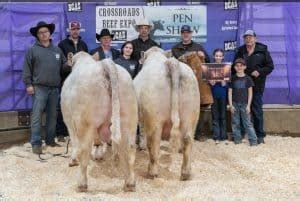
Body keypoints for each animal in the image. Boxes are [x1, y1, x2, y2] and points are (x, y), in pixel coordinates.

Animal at [61, 51, 138, 192]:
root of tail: (104, 64)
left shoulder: (69, 120)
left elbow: (75, 143)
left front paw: (73, 160)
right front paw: (98, 155)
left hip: (84, 123)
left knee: (83, 151)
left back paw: (81, 184)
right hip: (129, 119)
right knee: (130, 149)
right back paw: (129, 183)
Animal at [133, 47, 199, 181]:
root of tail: (171, 63)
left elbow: (141, 130)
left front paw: (141, 145)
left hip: (154, 119)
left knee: (154, 142)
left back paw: (152, 172)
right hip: (191, 116)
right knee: (188, 139)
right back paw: (186, 173)